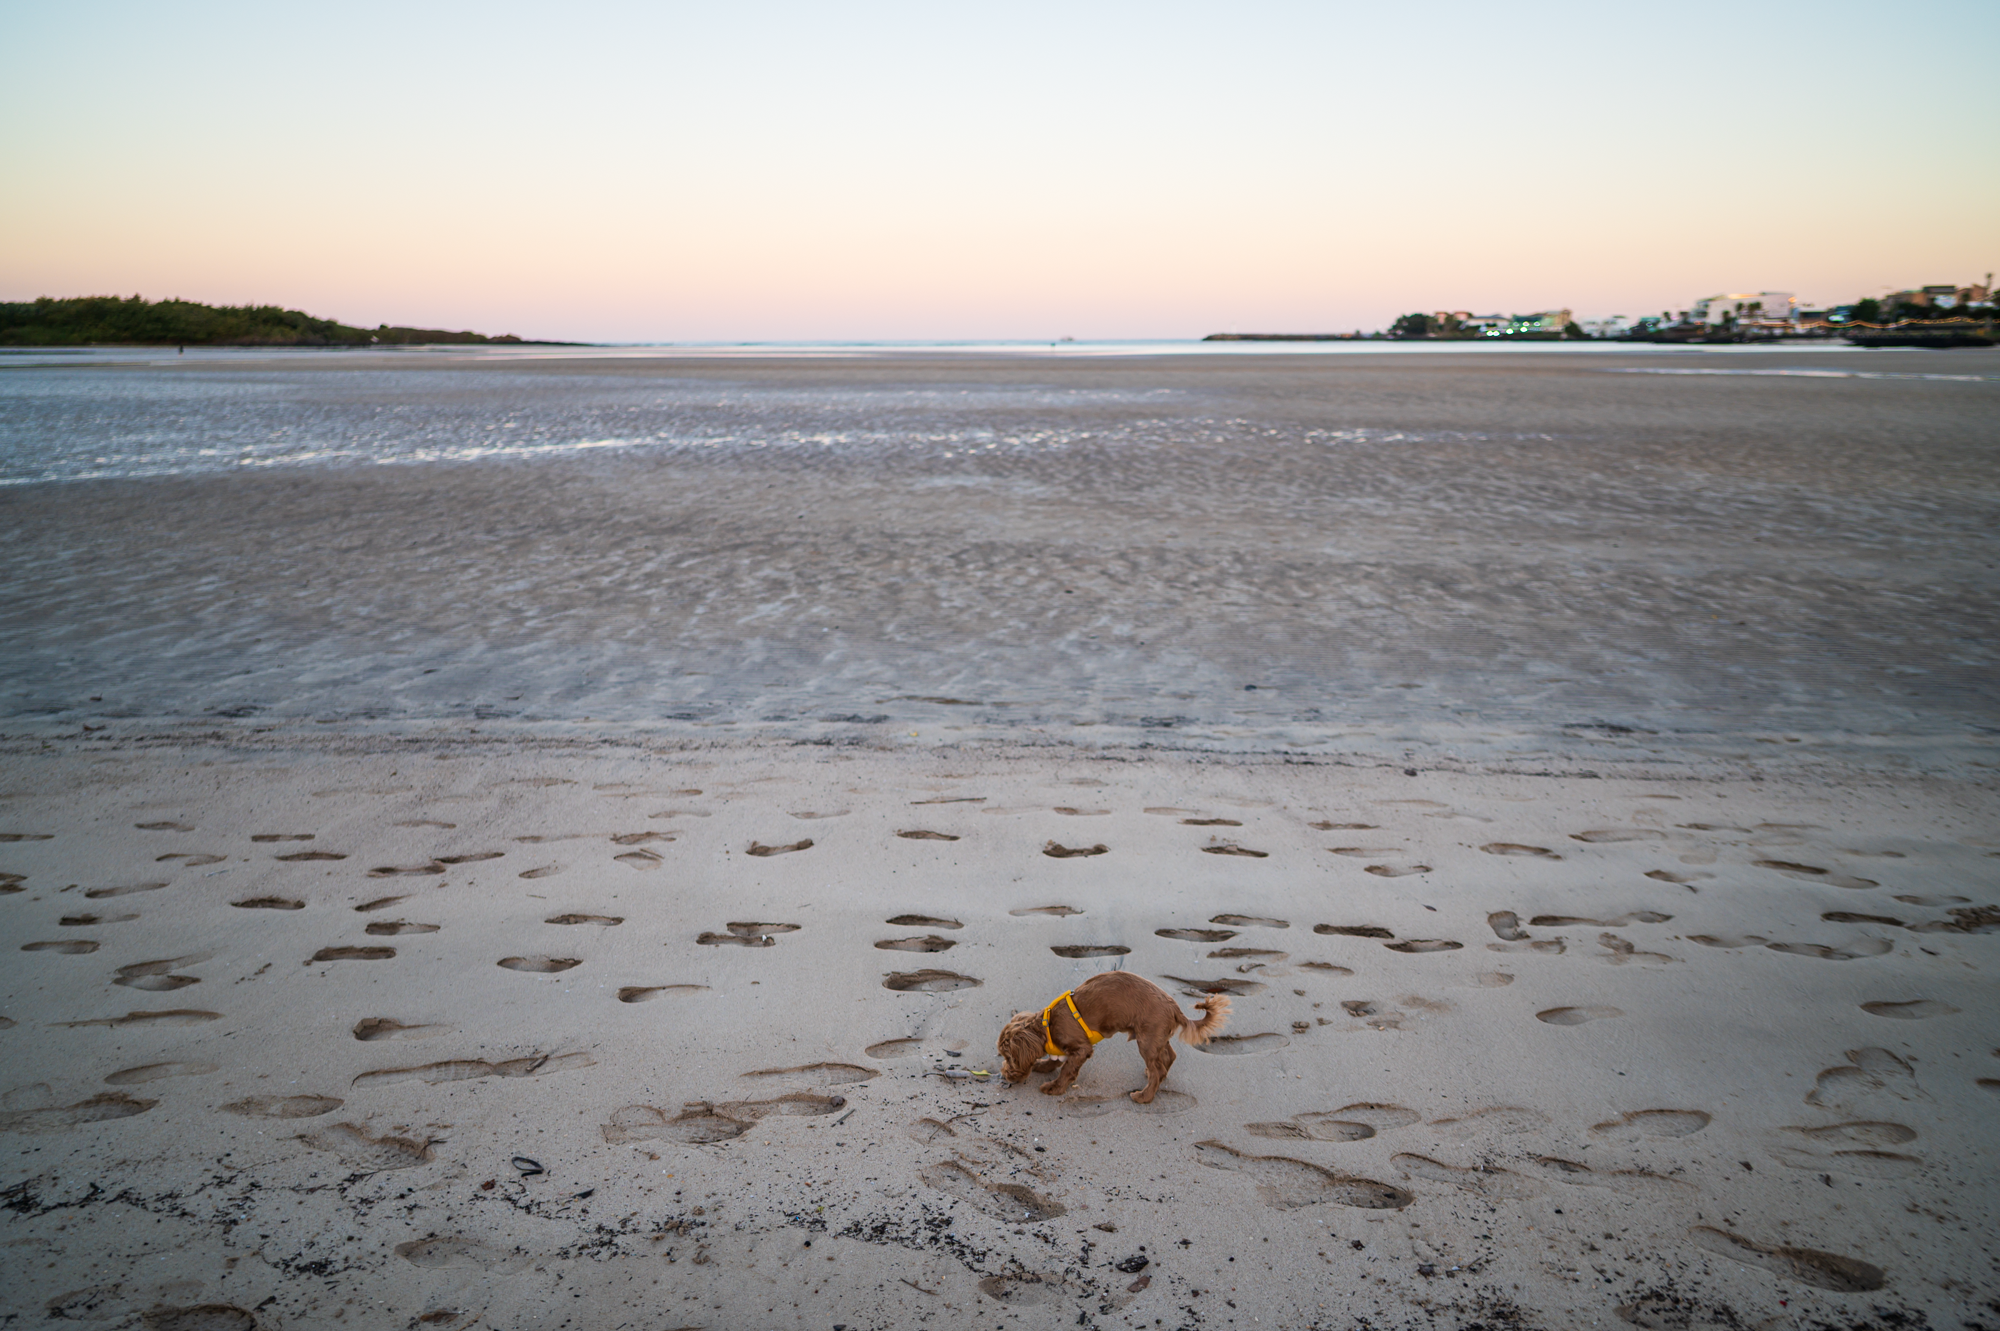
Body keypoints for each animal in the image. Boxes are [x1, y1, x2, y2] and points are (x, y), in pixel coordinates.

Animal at [997, 971, 1230, 1104]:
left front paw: (1054, 1088)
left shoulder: (1082, 1048)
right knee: (1168, 1057)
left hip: (1146, 1040)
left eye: (1009, 1057)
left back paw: (1144, 1097)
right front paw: (1044, 1066)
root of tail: (1174, 1008)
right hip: (1156, 1036)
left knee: (1159, 1069)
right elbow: (1056, 1060)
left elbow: (1067, 1069)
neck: (1047, 1025)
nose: (1005, 1075)